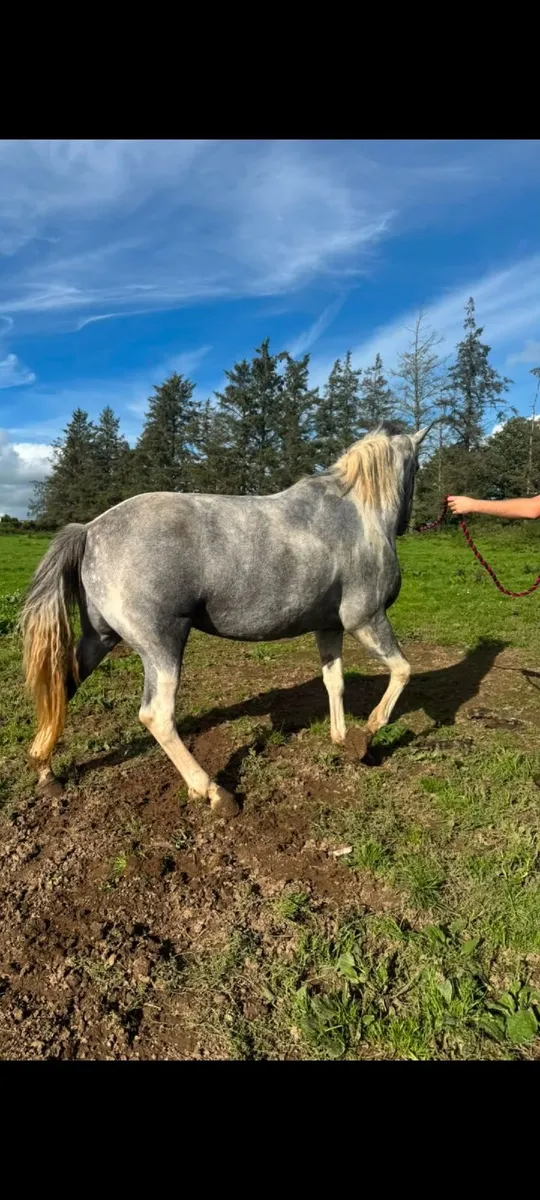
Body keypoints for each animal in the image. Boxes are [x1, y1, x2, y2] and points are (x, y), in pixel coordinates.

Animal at [21, 424, 431, 818]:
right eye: (417, 466)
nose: (408, 523)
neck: (355, 516)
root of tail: (89, 530)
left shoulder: (328, 628)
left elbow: (335, 683)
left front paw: (342, 738)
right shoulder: (367, 619)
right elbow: (403, 670)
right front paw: (366, 737)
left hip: (100, 639)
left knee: (61, 687)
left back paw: (45, 771)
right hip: (162, 647)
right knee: (157, 716)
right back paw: (213, 792)